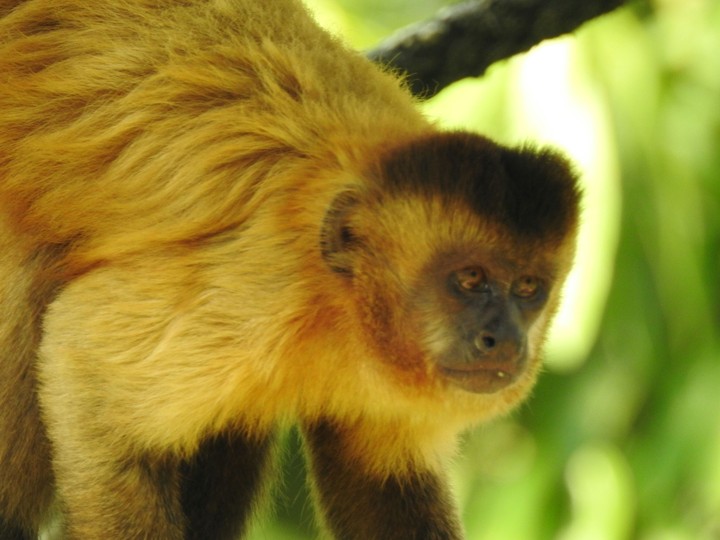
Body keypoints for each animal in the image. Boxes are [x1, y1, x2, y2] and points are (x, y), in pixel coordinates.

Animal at [0, 0, 581, 538]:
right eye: (469, 280)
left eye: (528, 288)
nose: (502, 338)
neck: (342, 300)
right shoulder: (258, 290)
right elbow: (80, 358)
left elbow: (383, 483)